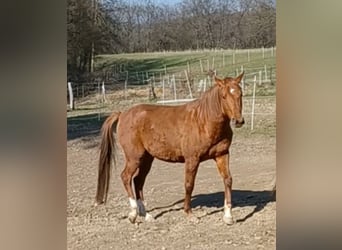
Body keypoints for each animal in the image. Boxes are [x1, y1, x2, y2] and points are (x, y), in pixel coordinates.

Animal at [95, 72, 244, 225]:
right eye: (224, 96)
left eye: (240, 94)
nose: (238, 121)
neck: (204, 121)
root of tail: (122, 114)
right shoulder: (192, 159)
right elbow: (189, 184)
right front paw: (189, 214)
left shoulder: (222, 155)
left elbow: (228, 180)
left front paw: (228, 216)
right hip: (134, 157)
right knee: (126, 177)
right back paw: (133, 214)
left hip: (147, 159)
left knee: (138, 181)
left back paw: (146, 214)